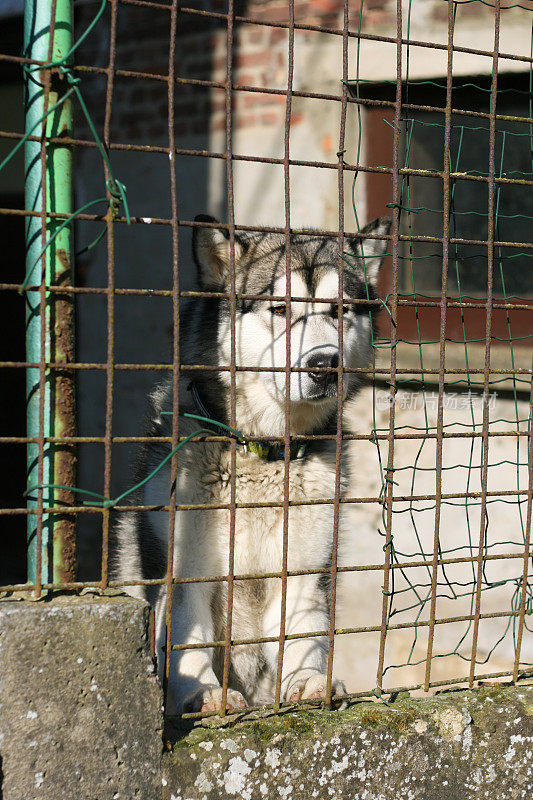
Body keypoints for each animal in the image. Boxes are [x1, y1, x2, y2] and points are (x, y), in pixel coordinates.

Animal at [112, 212, 388, 712]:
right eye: (279, 309)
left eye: (339, 311)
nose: (325, 365)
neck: (263, 453)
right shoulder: (184, 567)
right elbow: (189, 639)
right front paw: (201, 692)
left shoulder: (304, 568)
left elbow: (304, 634)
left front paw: (307, 680)